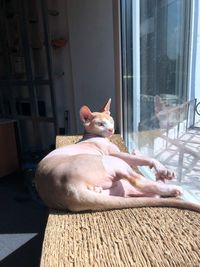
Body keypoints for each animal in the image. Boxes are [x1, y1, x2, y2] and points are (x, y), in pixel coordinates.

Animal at [34, 99, 200, 214]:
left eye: (111, 120)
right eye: (100, 124)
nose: (111, 129)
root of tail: (67, 190)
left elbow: (138, 157)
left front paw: (140, 154)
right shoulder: (114, 152)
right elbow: (147, 159)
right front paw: (162, 169)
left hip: (119, 186)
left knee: (149, 194)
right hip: (113, 161)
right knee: (141, 183)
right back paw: (173, 187)